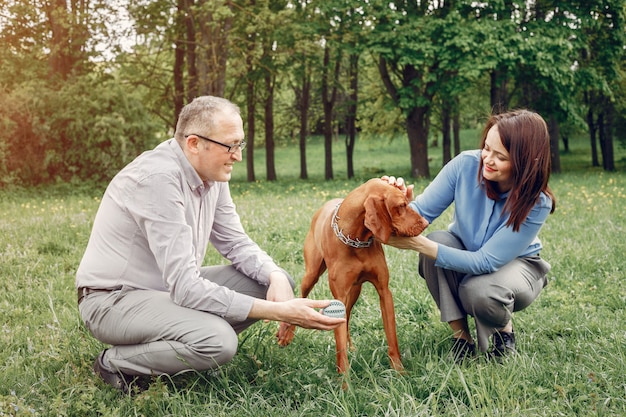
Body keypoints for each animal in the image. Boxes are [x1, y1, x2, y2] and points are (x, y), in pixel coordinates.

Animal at [278, 177, 428, 372]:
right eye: (402, 205)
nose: (425, 223)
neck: (356, 240)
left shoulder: (384, 291)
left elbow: (392, 336)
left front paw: (398, 370)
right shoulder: (339, 296)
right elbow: (339, 344)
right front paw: (344, 378)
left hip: (355, 290)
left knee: (348, 317)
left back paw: (351, 347)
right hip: (311, 275)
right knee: (302, 298)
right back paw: (286, 336)